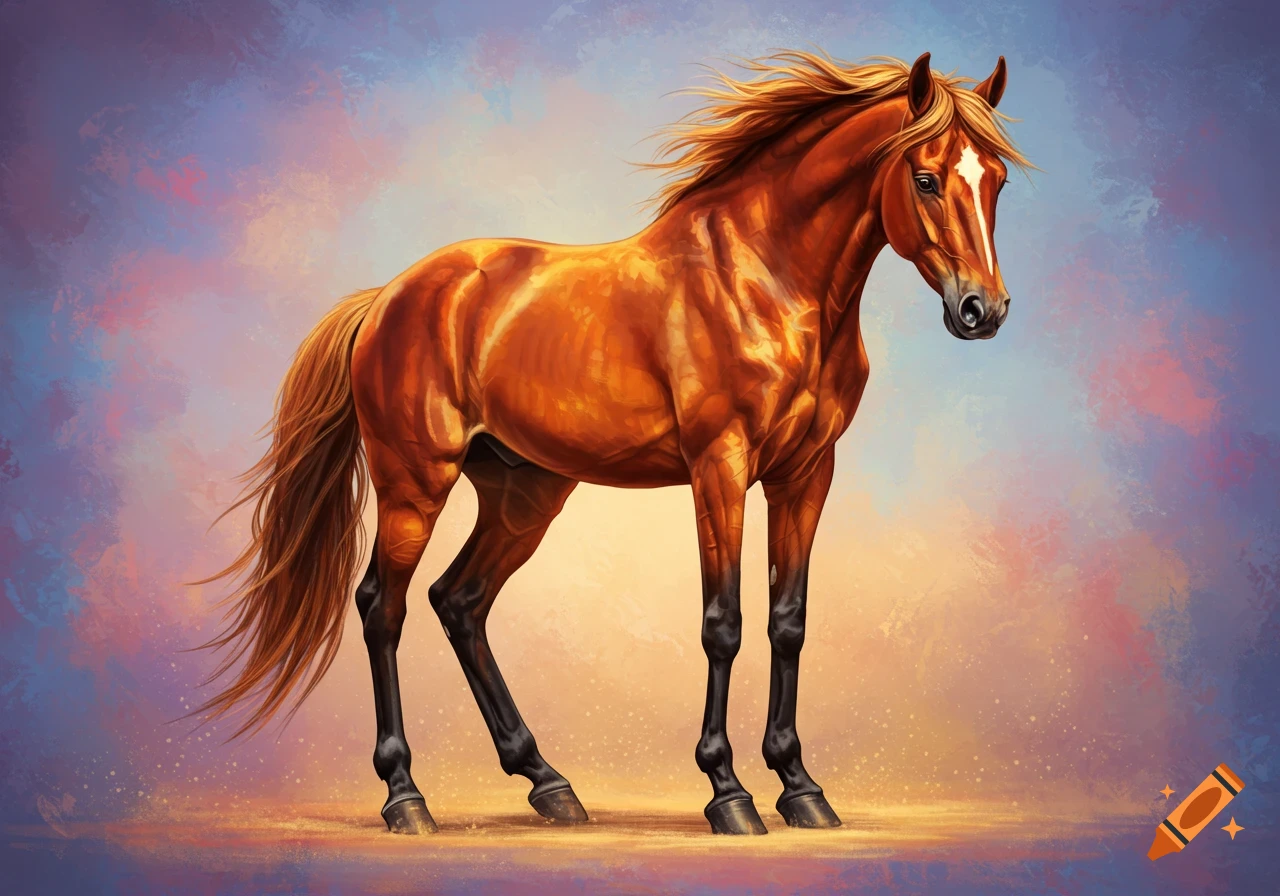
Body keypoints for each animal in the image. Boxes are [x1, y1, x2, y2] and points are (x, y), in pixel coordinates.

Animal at [196, 50, 1031, 836]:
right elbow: (723, 623)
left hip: (524, 495)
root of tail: (388, 298)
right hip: (415, 483)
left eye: (995, 181)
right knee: (383, 606)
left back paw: (548, 783)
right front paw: (728, 792)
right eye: (925, 179)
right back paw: (406, 797)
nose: (982, 310)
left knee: (458, 601)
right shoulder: (720, 467)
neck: (765, 277)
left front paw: (801, 788)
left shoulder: (805, 474)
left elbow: (787, 622)